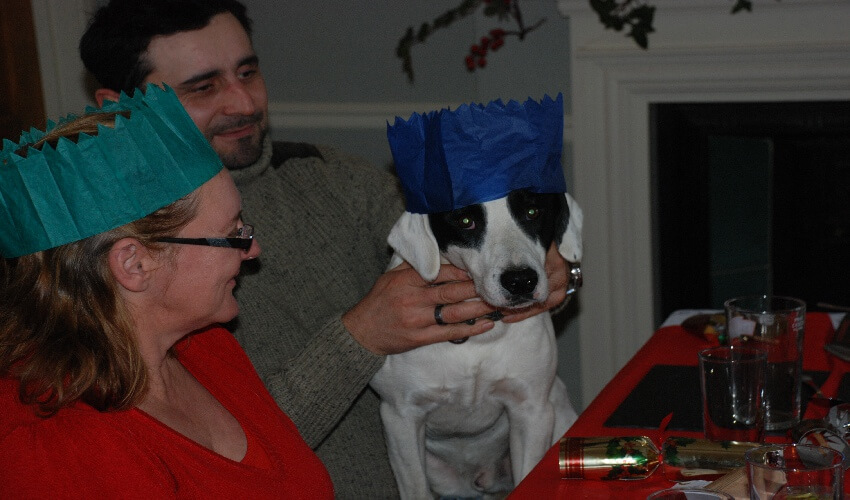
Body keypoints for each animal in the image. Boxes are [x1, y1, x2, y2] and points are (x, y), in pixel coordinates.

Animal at [372, 188, 584, 500]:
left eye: (533, 212)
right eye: (466, 220)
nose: (520, 281)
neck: (477, 337)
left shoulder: (531, 411)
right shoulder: (401, 419)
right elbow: (416, 488)